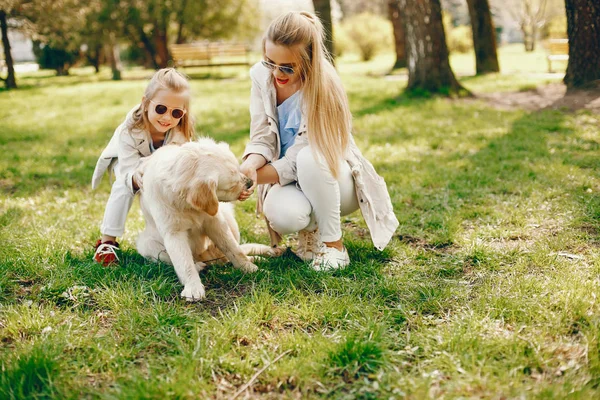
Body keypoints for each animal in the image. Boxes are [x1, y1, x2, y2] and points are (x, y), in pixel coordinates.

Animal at [136, 138, 274, 300]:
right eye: (231, 186)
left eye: (239, 170)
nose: (250, 183)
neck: (187, 206)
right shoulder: (173, 232)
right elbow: (183, 262)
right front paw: (193, 288)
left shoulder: (214, 221)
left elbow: (233, 248)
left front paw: (249, 268)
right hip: (145, 244)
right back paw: (199, 265)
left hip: (228, 217)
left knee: (228, 254)